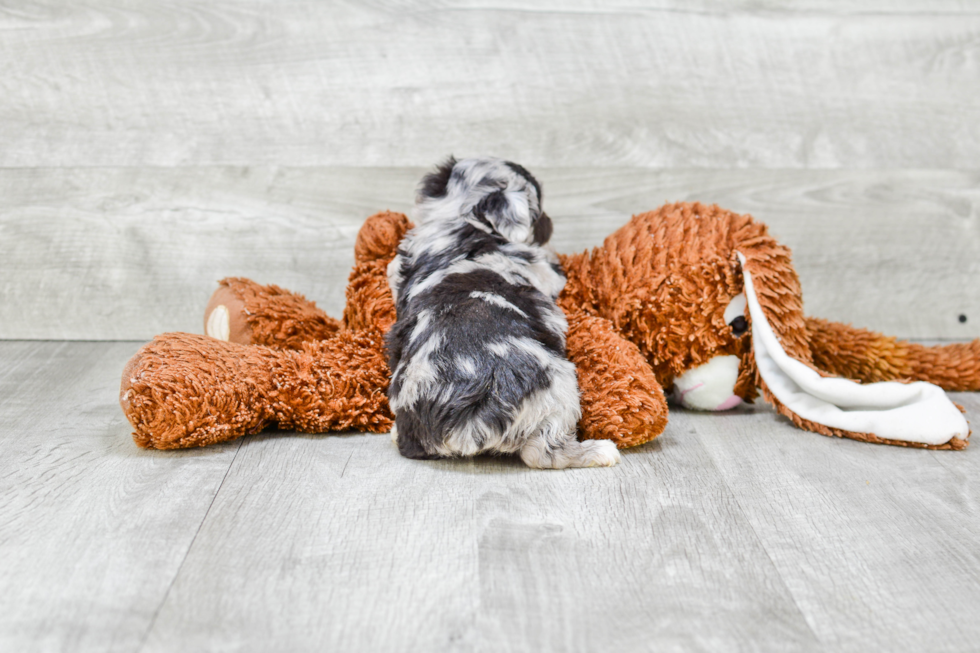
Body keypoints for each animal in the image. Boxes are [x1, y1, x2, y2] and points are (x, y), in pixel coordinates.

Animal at [384, 155, 620, 466]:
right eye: (537, 208)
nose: (549, 222)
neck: (463, 217)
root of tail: (464, 424)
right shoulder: (543, 272)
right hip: (559, 383)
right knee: (542, 452)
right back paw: (598, 452)